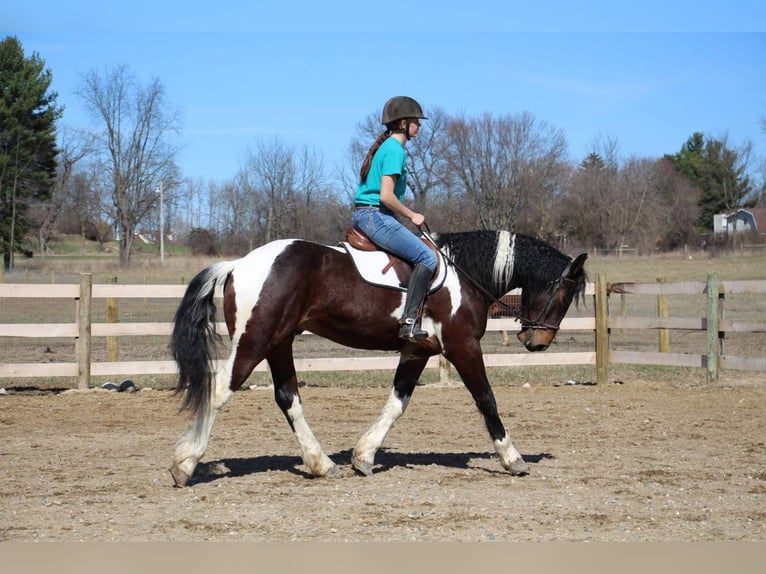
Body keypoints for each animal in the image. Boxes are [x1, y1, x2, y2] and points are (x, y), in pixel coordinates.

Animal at [169, 229, 587, 486]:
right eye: (565, 294)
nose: (538, 342)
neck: (464, 275)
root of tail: (238, 264)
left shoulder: (418, 351)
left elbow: (397, 403)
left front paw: (364, 455)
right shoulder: (463, 346)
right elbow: (487, 400)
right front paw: (512, 458)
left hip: (279, 343)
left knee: (289, 398)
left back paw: (322, 463)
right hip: (255, 340)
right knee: (220, 390)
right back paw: (185, 463)